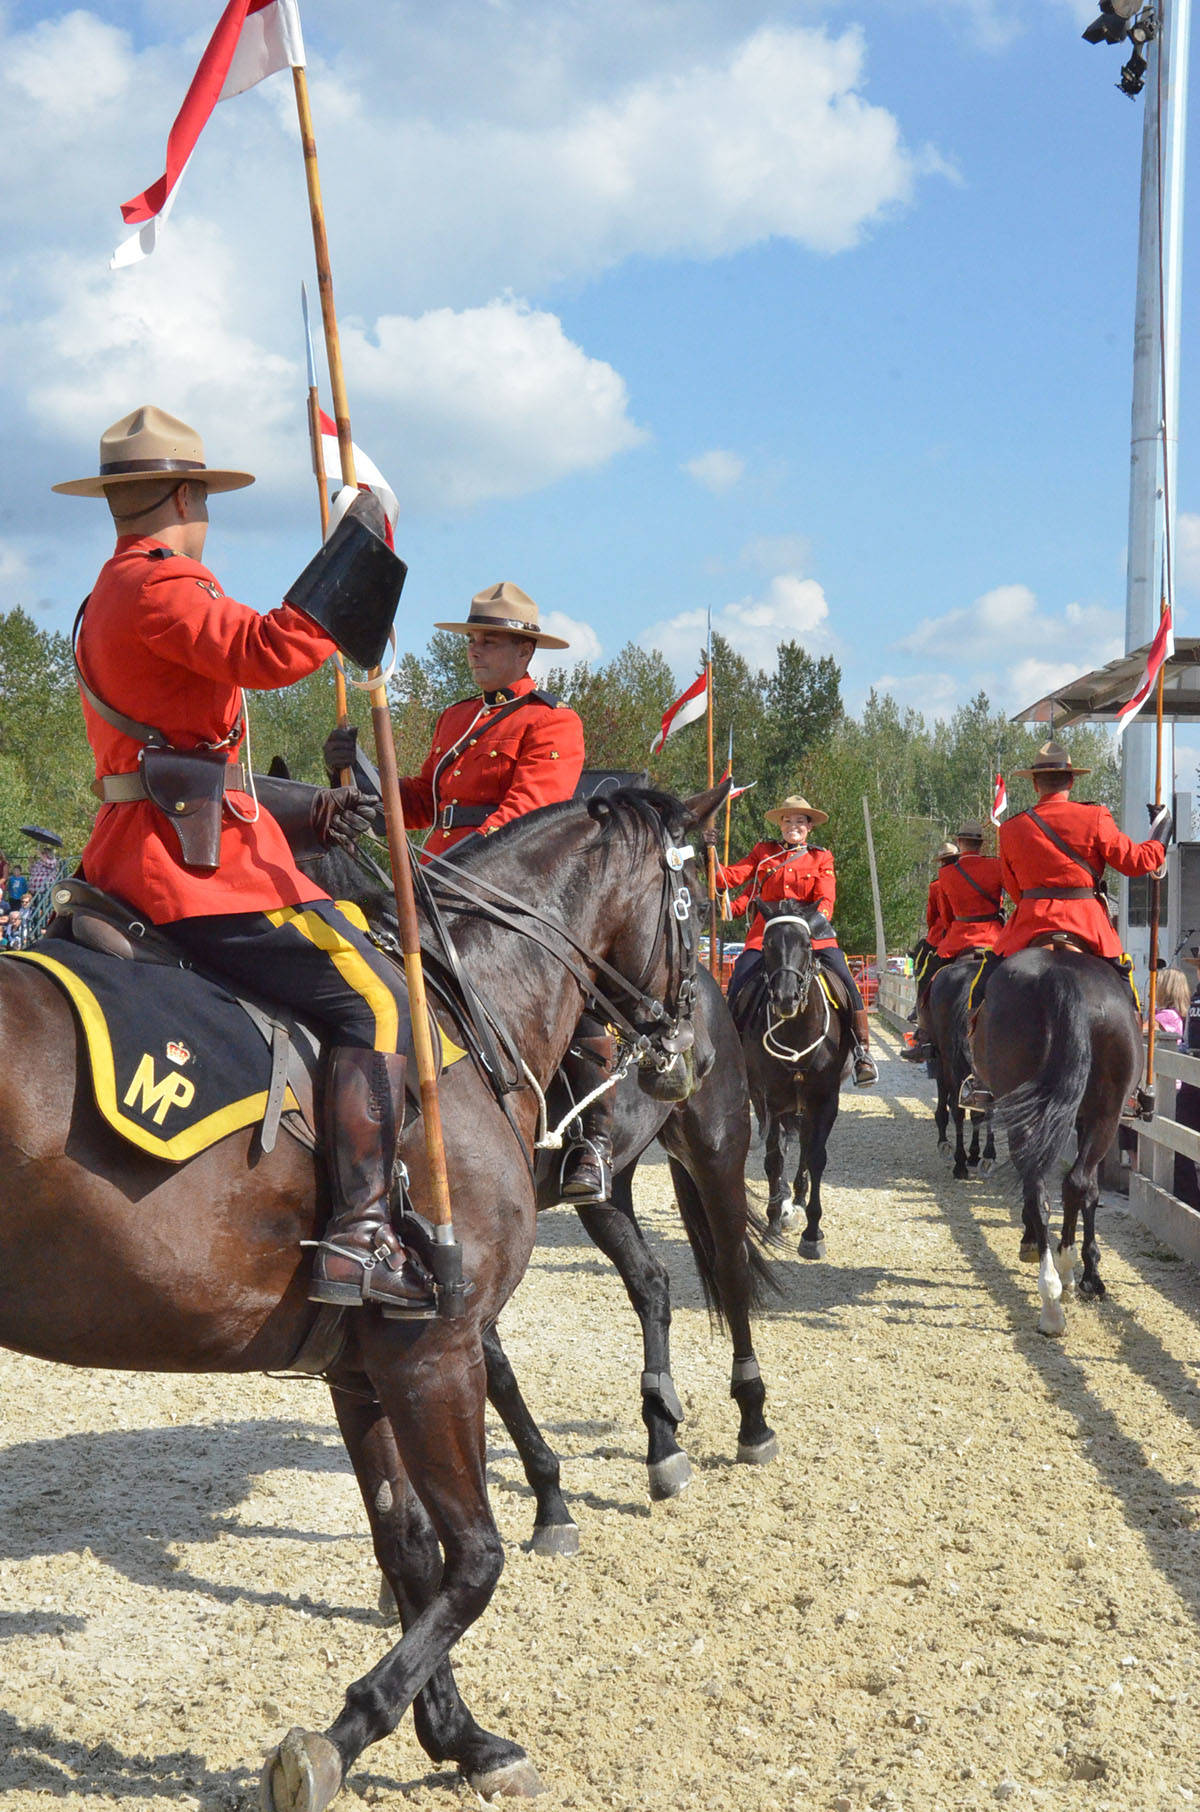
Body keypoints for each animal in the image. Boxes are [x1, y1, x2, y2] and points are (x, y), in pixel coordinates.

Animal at [0, 790, 714, 1812]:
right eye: (700, 902)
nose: (686, 1055)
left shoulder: (366, 1368)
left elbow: (413, 1549)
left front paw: (461, 1738)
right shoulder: (435, 1351)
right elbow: (475, 1558)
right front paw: (343, 1736)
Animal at [728, 902, 859, 1261]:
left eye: (807, 944)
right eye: (768, 944)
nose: (785, 998)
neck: (797, 1030)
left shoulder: (825, 1099)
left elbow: (816, 1156)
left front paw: (813, 1233)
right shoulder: (767, 1099)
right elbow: (775, 1158)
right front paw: (774, 1219)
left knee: (804, 1144)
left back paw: (798, 1197)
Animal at [971, 942, 1145, 1340]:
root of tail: (1059, 972)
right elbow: (1089, 1190)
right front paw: (1088, 1273)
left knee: (1043, 1186)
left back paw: (1051, 1294)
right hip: (1104, 1116)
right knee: (1069, 1183)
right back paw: (1059, 1282)